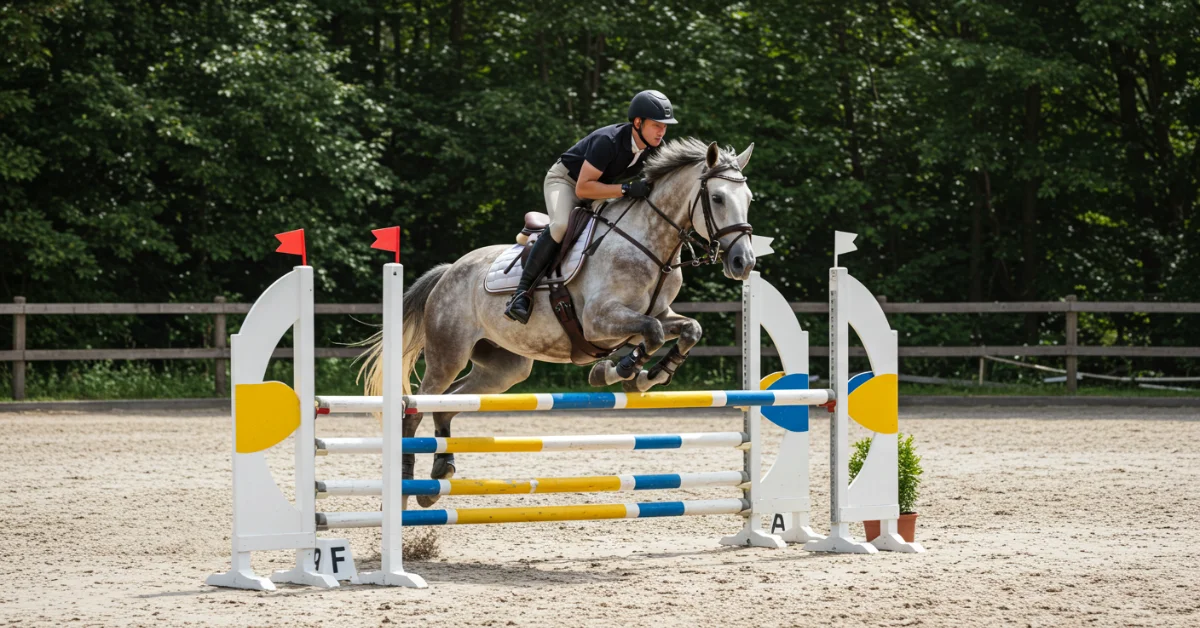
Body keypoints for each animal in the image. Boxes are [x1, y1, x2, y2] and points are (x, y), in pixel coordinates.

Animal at [362, 138, 757, 507]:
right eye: (717, 198)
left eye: (749, 198)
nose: (744, 262)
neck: (649, 243)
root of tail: (449, 272)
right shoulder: (598, 320)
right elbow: (653, 332)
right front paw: (622, 371)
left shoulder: (657, 312)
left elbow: (687, 329)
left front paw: (649, 375)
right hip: (448, 354)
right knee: (417, 408)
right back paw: (408, 485)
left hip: (505, 368)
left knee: (449, 403)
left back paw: (440, 473)